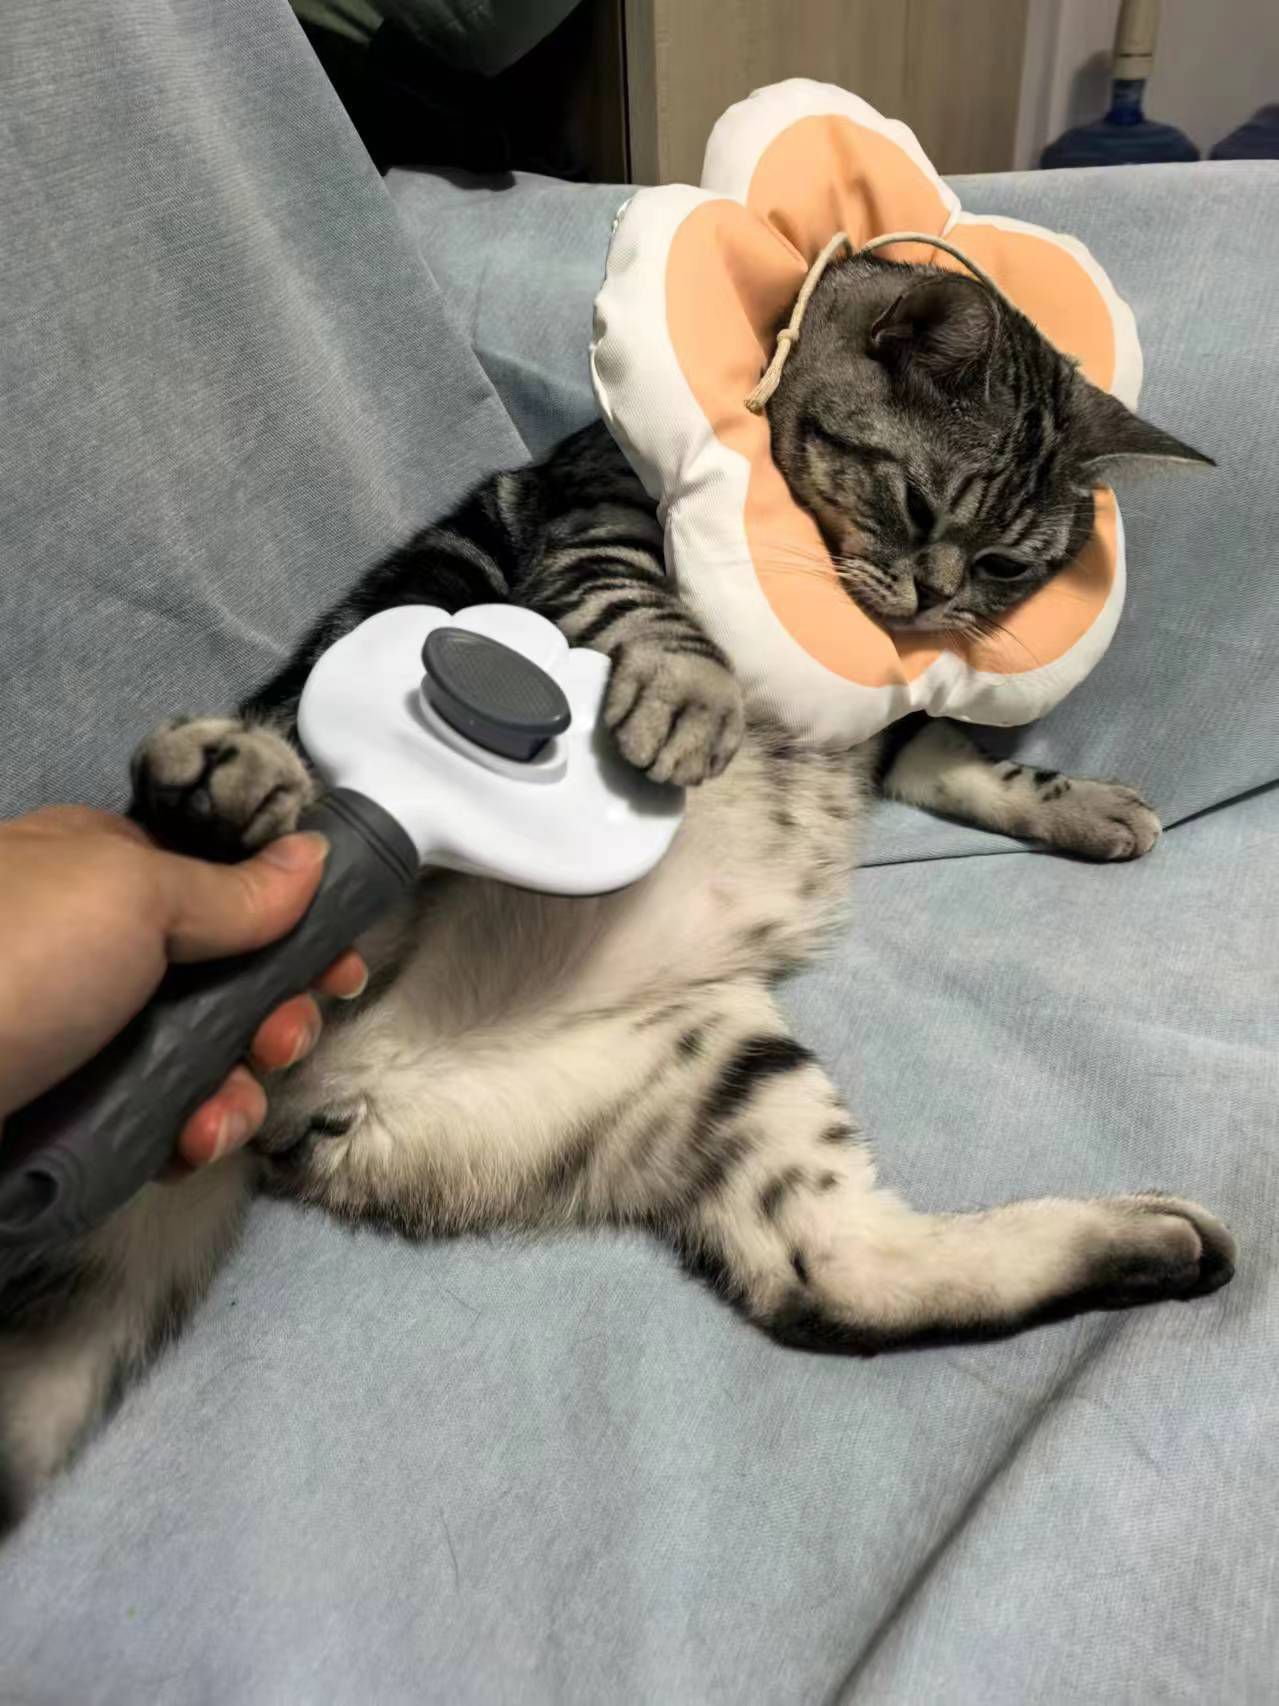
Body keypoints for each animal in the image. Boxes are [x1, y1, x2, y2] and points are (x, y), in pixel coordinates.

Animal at [0, 257, 1232, 1530]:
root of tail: (303, 1094)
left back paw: (1155, 1241)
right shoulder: (599, 507)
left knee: (832, 1275)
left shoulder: (885, 719)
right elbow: (650, 605)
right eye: (914, 503)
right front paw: (692, 698)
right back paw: (223, 785)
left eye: (1004, 565)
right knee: (303, 787)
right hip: (385, 744)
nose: (934, 597)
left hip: (711, 1069)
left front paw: (1076, 801)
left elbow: (952, 754)